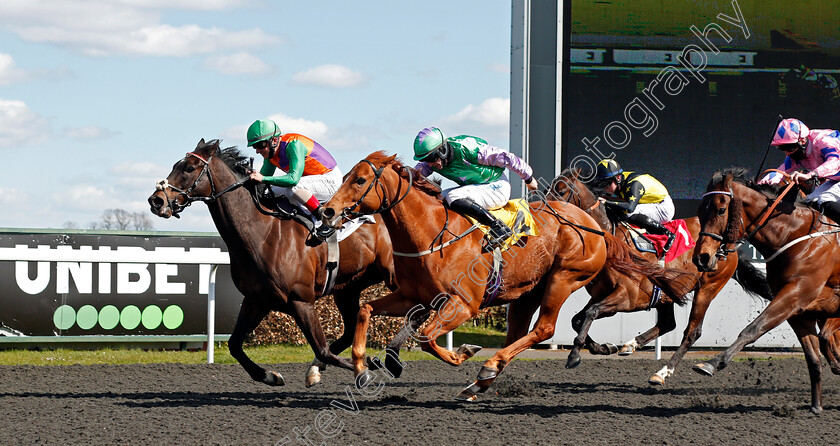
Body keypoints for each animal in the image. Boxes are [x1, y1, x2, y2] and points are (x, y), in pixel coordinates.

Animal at [148, 139, 404, 386]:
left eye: (189, 168)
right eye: (175, 165)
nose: (156, 201)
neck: (263, 231)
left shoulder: (302, 301)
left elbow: (322, 350)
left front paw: (366, 369)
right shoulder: (256, 300)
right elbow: (234, 345)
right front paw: (269, 376)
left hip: (394, 277)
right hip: (348, 288)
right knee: (351, 328)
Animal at [318, 151, 684, 400]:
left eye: (360, 180)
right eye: (347, 175)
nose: (327, 211)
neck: (431, 233)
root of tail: (593, 226)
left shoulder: (463, 304)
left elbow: (426, 338)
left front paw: (463, 352)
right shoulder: (414, 296)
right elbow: (367, 310)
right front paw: (362, 369)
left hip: (564, 277)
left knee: (545, 328)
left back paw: (489, 366)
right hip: (528, 292)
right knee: (521, 335)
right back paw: (481, 380)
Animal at [548, 169, 772, 386]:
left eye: (561, 191)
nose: (545, 209)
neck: (613, 242)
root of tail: (728, 244)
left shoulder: (628, 297)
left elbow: (590, 313)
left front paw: (574, 356)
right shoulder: (600, 294)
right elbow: (578, 319)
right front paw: (604, 347)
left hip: (708, 287)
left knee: (692, 331)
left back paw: (662, 373)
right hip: (667, 293)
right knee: (667, 323)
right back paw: (630, 345)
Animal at [688, 168, 840, 414]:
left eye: (721, 209)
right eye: (700, 211)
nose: (701, 258)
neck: (794, 234)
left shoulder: (796, 294)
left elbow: (752, 329)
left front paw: (712, 363)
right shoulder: (799, 310)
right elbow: (813, 358)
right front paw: (816, 406)